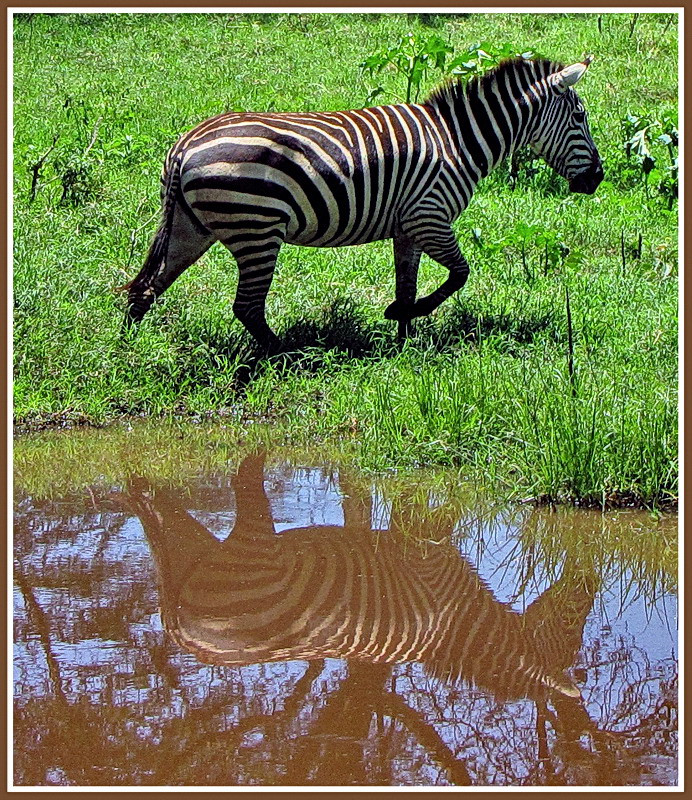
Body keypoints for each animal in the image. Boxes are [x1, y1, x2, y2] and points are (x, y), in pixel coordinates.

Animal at [123, 54, 600, 348]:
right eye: (580, 117)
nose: (596, 179)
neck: (458, 141)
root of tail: (185, 145)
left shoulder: (409, 225)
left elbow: (408, 284)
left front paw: (405, 342)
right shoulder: (430, 216)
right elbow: (459, 274)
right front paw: (399, 317)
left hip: (192, 227)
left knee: (145, 288)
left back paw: (127, 351)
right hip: (256, 228)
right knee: (247, 307)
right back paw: (285, 354)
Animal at [128, 454, 596, 704]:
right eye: (571, 626)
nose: (589, 580)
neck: (462, 624)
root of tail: (177, 626)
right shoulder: (427, 554)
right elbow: (438, 513)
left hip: (196, 547)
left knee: (157, 500)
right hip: (253, 548)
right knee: (245, 478)